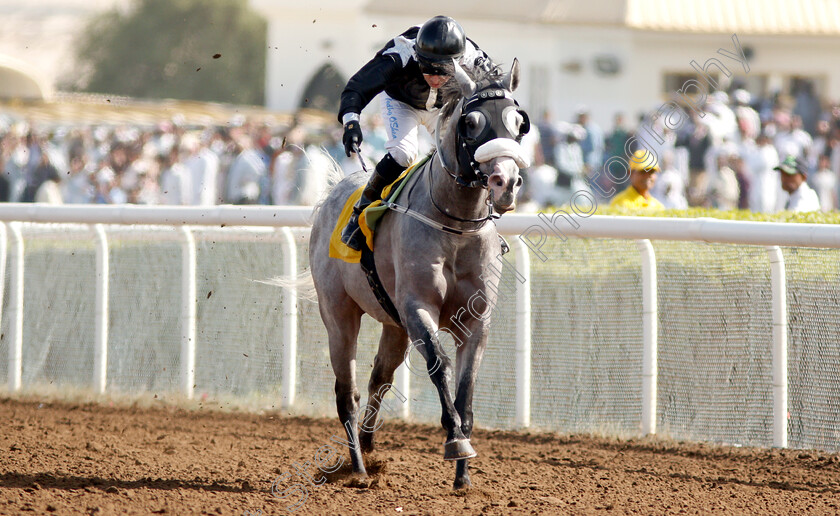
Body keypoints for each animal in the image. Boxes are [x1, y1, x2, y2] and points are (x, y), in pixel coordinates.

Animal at [308, 59, 532, 488]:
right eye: (472, 123)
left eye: (519, 123)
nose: (506, 182)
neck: (456, 224)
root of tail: (332, 193)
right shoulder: (417, 308)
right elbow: (440, 366)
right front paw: (455, 442)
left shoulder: (476, 320)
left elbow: (466, 390)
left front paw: (463, 476)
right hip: (339, 316)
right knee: (347, 393)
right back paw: (358, 468)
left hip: (392, 325)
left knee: (379, 378)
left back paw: (369, 445)